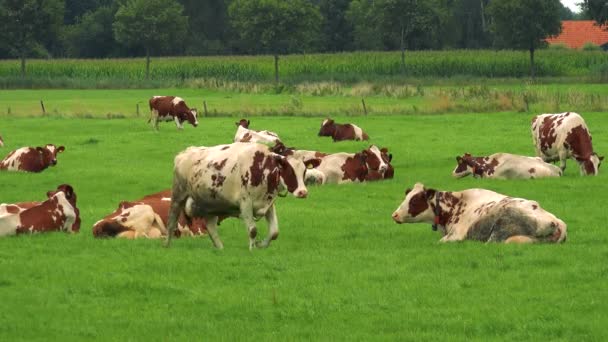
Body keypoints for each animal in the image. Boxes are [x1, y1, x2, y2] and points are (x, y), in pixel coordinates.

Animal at [165, 140, 312, 250]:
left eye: (304, 171)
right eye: (289, 170)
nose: (302, 192)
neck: (261, 167)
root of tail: (184, 153)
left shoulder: (269, 204)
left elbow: (274, 232)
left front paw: (261, 244)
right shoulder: (245, 203)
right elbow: (253, 230)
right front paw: (252, 250)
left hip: (211, 204)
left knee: (211, 227)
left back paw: (220, 248)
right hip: (178, 195)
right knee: (172, 221)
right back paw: (167, 244)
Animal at [392, 183, 568, 244]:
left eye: (414, 201)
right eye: (406, 197)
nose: (394, 215)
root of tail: (556, 221)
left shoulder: (456, 236)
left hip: (498, 232)